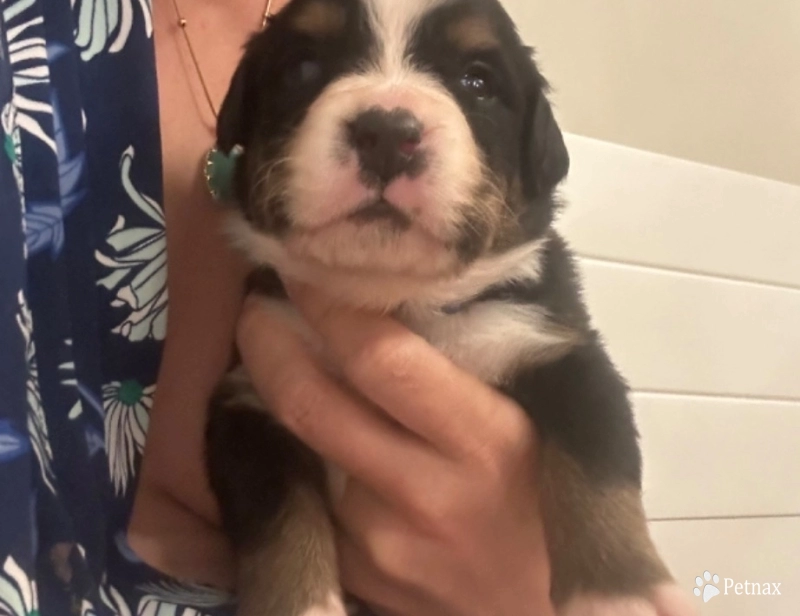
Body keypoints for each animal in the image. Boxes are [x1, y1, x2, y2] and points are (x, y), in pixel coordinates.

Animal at [203, 1, 696, 616]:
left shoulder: (557, 351)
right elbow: (279, 524)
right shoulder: (249, 400)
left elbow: (595, 468)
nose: (388, 133)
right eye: (303, 67)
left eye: (477, 81)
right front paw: (301, 603)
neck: (399, 302)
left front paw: (620, 595)